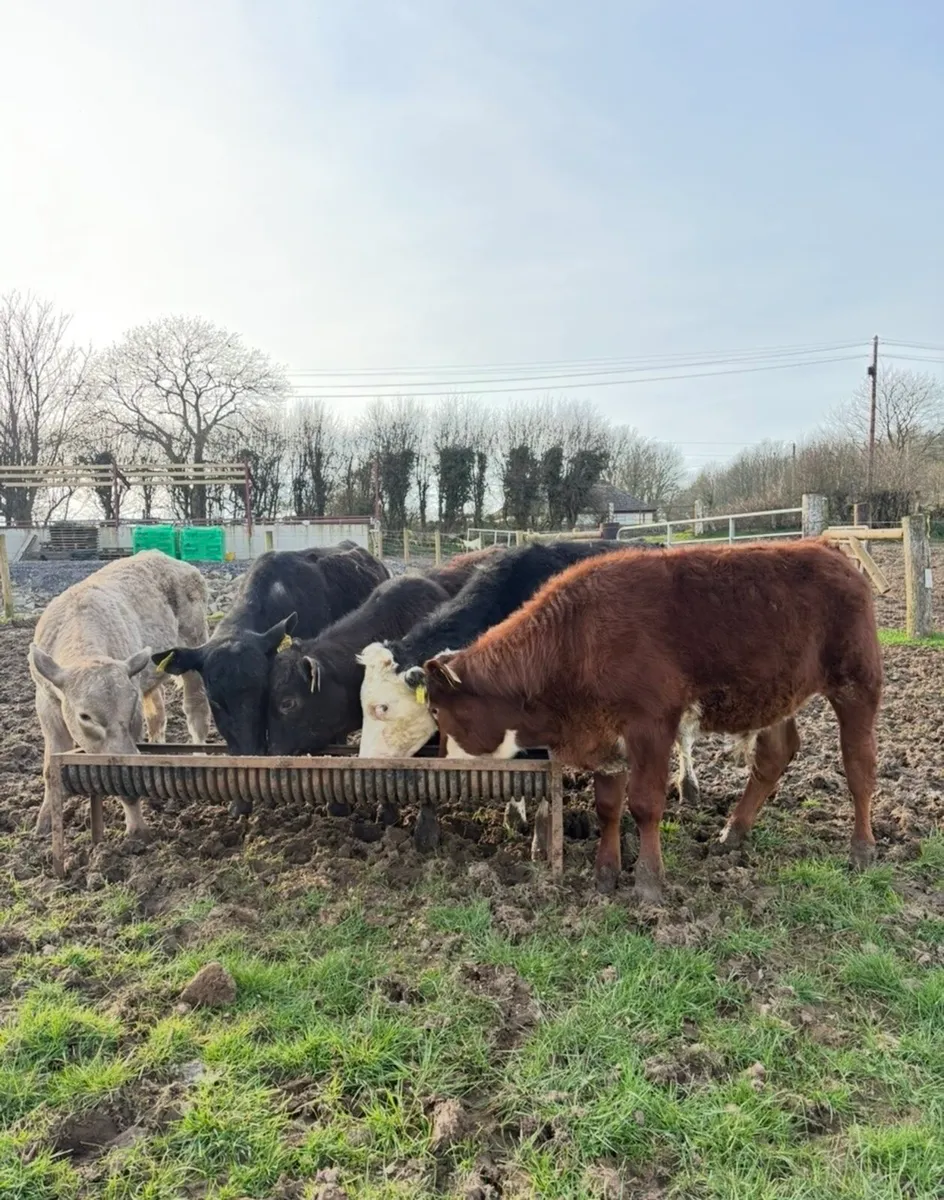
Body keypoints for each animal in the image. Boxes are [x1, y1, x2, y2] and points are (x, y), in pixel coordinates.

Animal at [29, 551, 212, 840]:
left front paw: (137, 828)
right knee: (158, 716)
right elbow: (50, 766)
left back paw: (198, 755)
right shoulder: (47, 704)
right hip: (150, 676)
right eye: (85, 716)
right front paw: (44, 822)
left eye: (130, 707)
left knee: (196, 713)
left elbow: (126, 775)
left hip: (194, 644)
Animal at [421, 540, 883, 904]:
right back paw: (734, 831)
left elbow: (644, 804)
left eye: (440, 712)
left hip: (857, 683)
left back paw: (862, 848)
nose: (440, 767)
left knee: (859, 767)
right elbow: (608, 805)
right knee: (774, 756)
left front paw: (648, 880)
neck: (578, 638)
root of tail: (828, 550)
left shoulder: (652, 725)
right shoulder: (604, 733)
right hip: (777, 695)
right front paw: (605, 873)